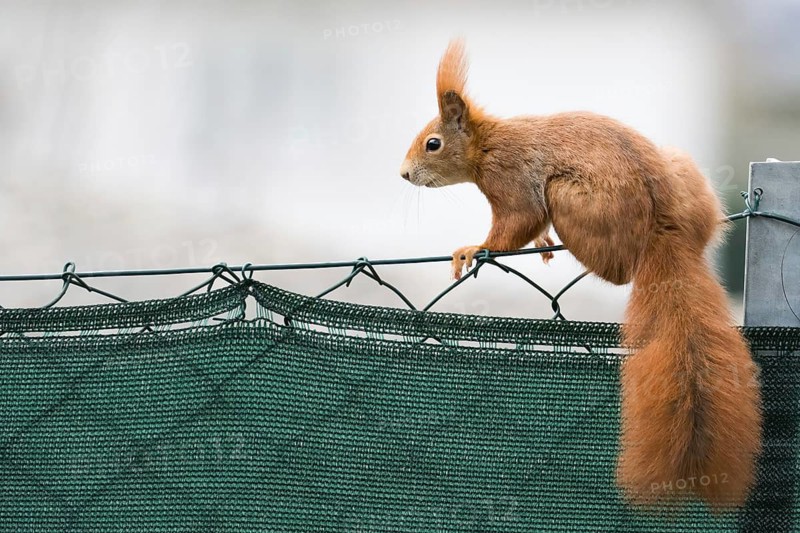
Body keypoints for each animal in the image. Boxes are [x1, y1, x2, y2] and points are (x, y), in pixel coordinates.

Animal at [399, 39, 762, 509]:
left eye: (433, 144)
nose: (404, 173)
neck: (488, 144)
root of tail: (664, 230)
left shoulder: (510, 180)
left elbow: (515, 225)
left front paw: (474, 249)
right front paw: (538, 240)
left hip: (569, 196)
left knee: (618, 273)